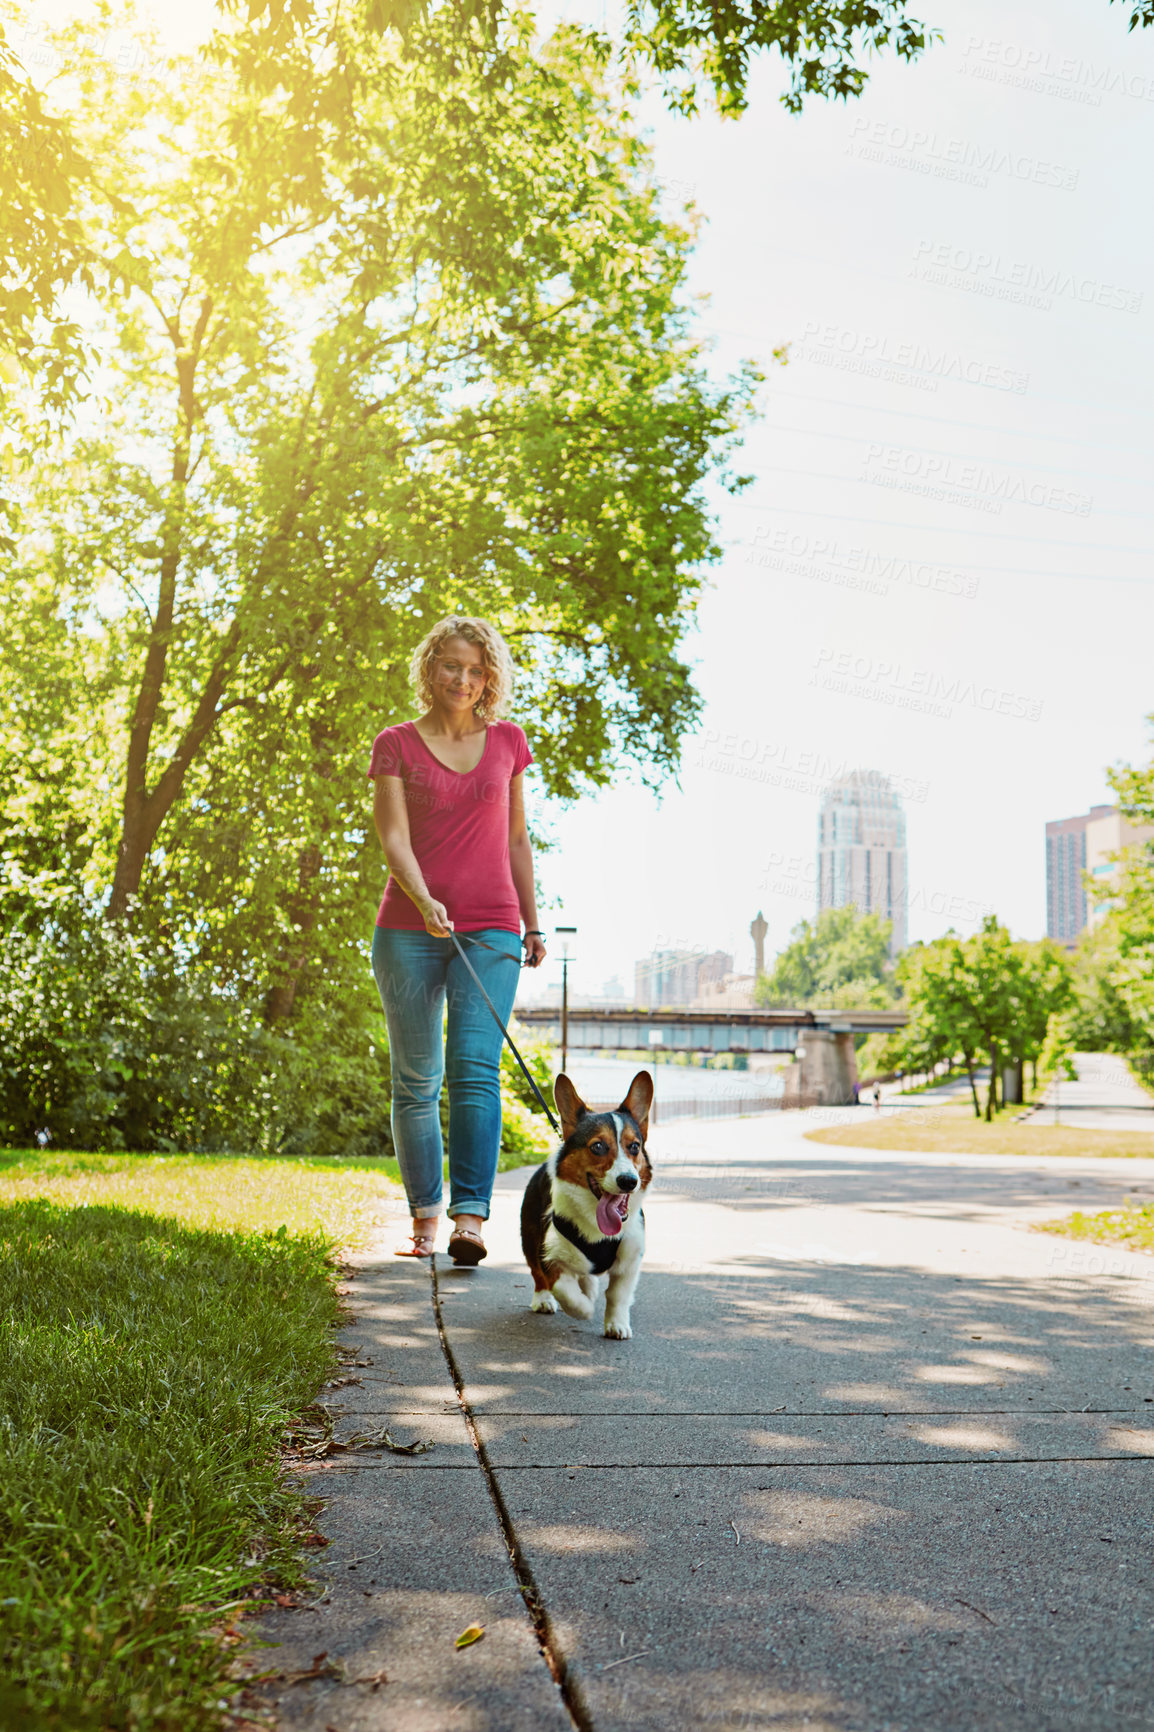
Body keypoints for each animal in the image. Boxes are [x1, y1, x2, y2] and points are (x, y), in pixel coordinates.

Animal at [519, 1066, 651, 1337]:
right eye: (598, 1146)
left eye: (634, 1146)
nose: (628, 1181)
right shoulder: (551, 1252)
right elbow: (564, 1288)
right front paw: (585, 1309)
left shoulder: (630, 1260)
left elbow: (618, 1295)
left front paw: (617, 1325)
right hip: (530, 1237)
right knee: (538, 1274)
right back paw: (543, 1299)